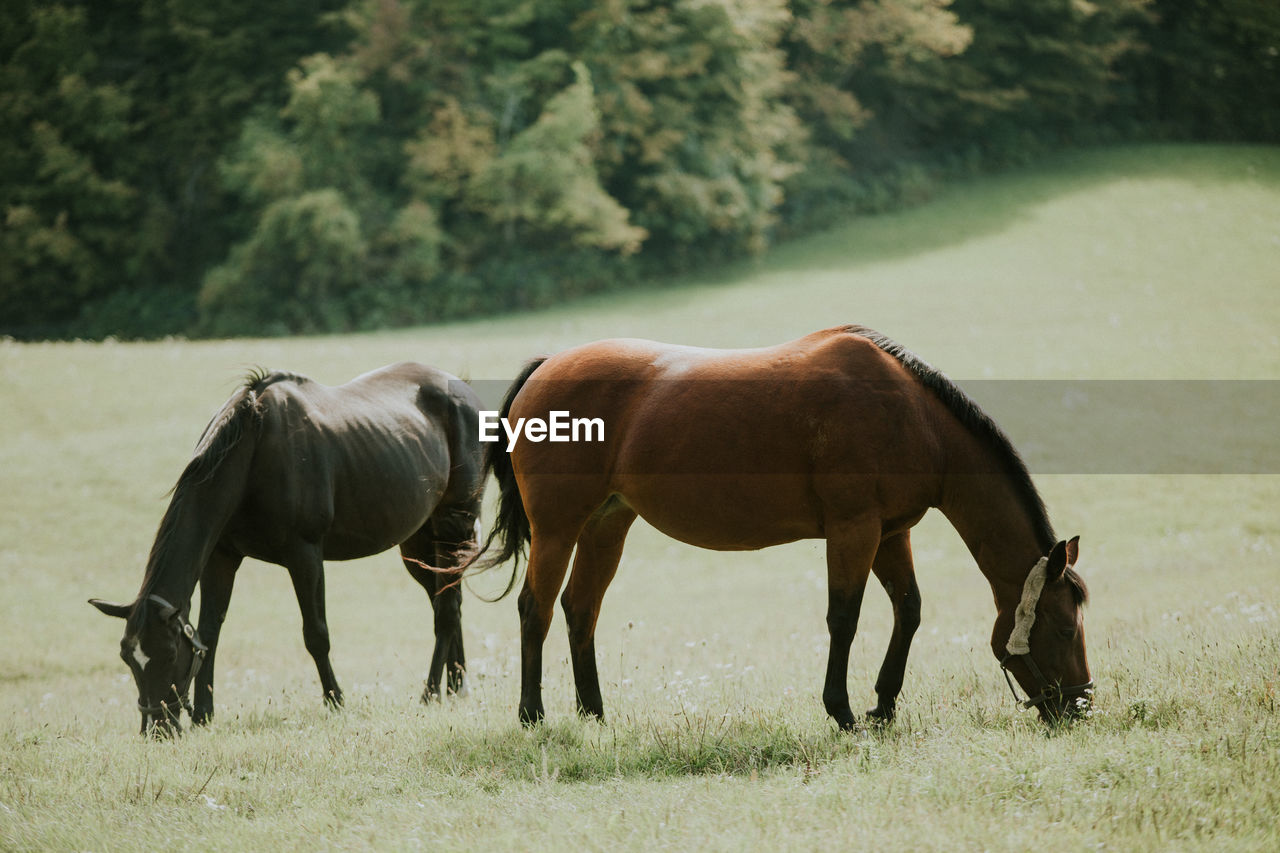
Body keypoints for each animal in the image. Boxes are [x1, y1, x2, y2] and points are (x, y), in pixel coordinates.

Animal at [88, 361, 481, 732]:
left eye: (169, 654)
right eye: (128, 657)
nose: (157, 728)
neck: (253, 448)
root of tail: (463, 389)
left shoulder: (304, 555)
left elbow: (316, 634)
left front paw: (336, 701)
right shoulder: (221, 557)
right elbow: (209, 633)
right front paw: (203, 714)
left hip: (453, 526)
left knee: (446, 610)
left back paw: (431, 693)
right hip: (418, 543)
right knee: (448, 601)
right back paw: (455, 686)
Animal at [481, 327, 1090, 727]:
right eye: (1063, 628)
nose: (1082, 705)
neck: (914, 418)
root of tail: (545, 367)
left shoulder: (891, 533)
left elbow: (909, 610)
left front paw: (883, 706)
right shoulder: (854, 531)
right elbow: (844, 618)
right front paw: (842, 711)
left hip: (606, 525)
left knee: (580, 608)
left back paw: (594, 713)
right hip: (558, 529)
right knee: (535, 609)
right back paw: (532, 714)